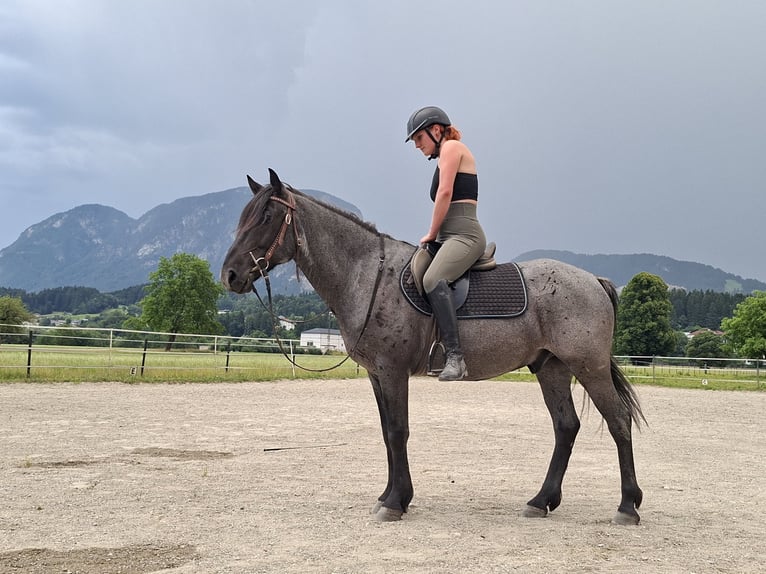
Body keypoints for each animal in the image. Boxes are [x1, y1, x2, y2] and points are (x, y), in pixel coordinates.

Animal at [221, 169, 645, 525]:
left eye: (265, 217)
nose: (230, 275)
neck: (367, 275)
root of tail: (594, 280)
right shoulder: (377, 375)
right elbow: (386, 433)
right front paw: (389, 496)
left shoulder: (392, 371)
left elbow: (398, 431)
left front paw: (395, 503)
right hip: (551, 367)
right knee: (565, 426)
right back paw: (541, 501)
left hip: (588, 367)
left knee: (617, 420)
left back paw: (627, 506)